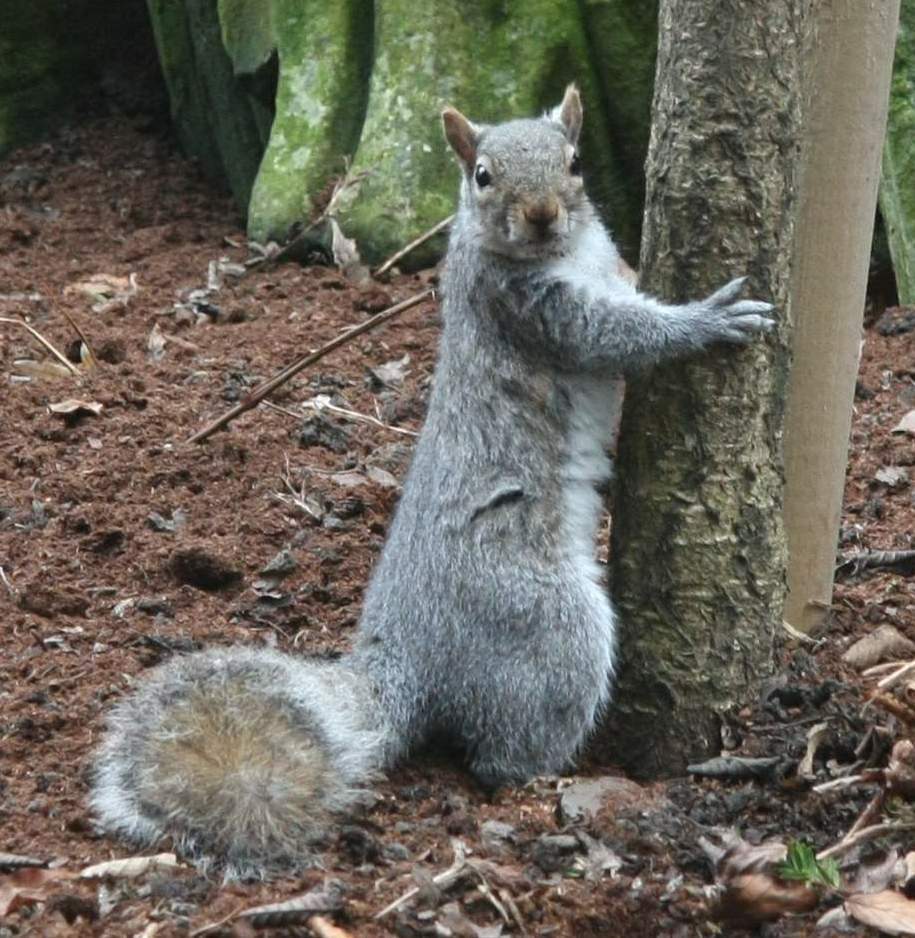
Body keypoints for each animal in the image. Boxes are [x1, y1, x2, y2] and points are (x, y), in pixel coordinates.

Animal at [90, 86, 774, 880]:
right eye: (482, 175)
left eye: (574, 162)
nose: (542, 213)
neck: (559, 251)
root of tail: (409, 661)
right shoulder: (532, 309)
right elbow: (619, 335)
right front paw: (707, 318)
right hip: (547, 623)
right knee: (503, 754)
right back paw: (549, 778)